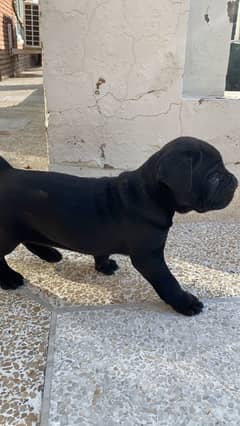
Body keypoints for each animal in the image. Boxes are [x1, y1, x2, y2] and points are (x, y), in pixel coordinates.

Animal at [0, 138, 237, 314]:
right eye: (214, 177)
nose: (235, 181)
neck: (151, 194)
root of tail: (6, 172)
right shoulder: (149, 257)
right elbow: (167, 281)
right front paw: (185, 302)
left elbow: (101, 251)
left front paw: (104, 266)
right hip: (8, 233)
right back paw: (9, 279)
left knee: (30, 238)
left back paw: (50, 254)